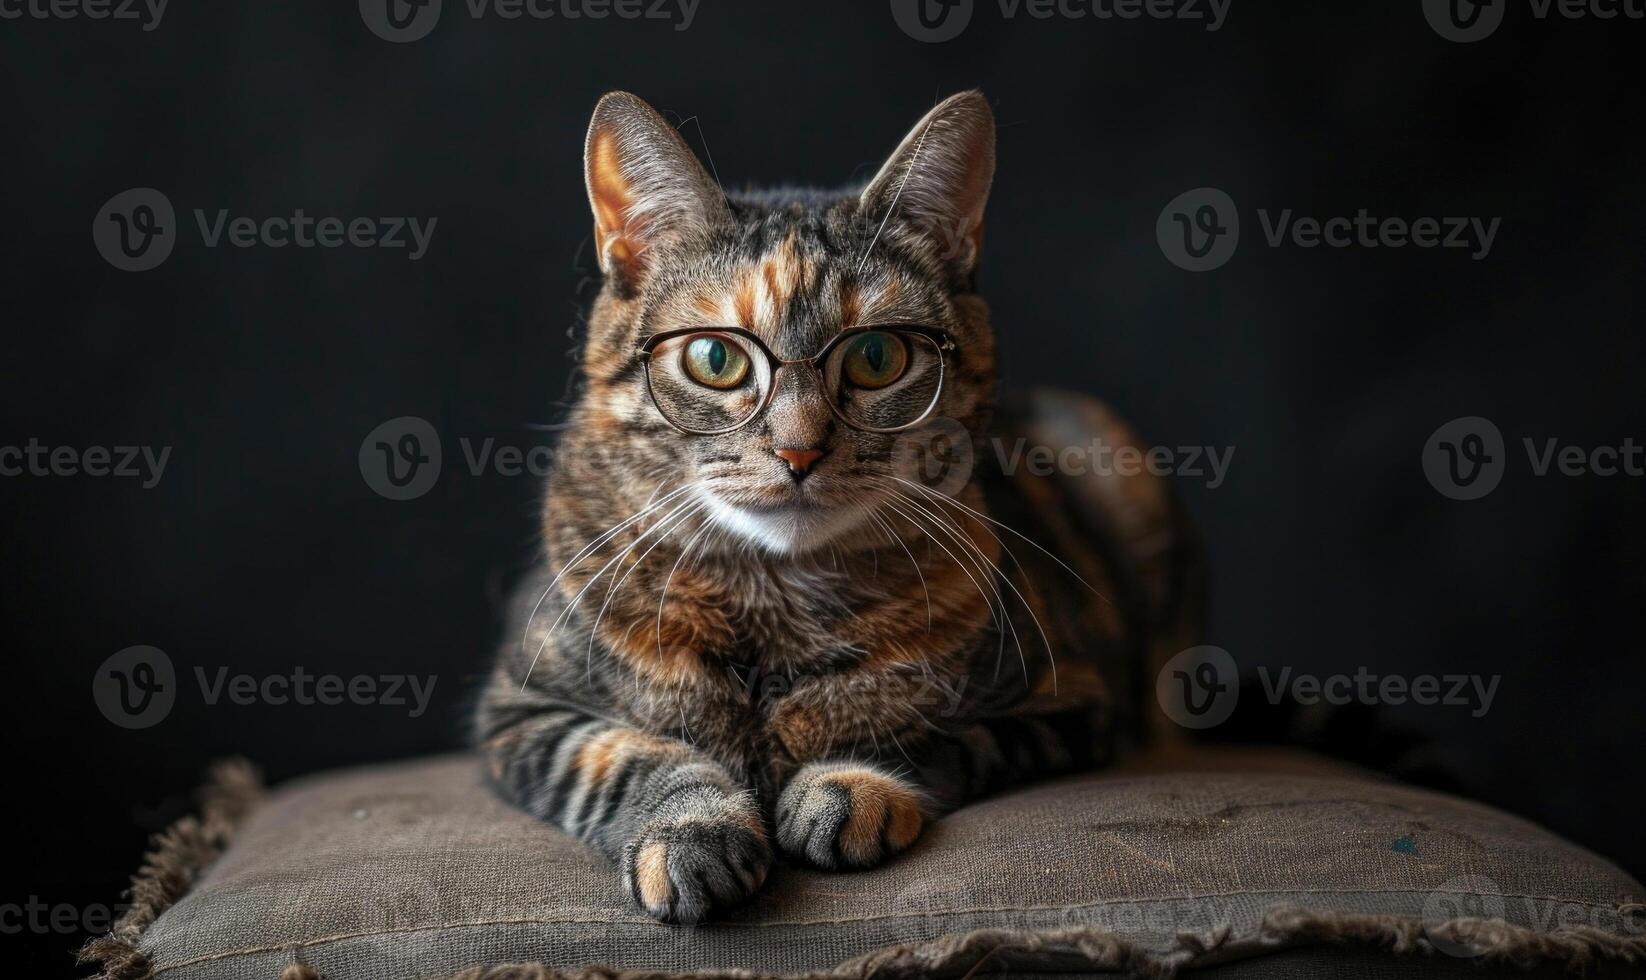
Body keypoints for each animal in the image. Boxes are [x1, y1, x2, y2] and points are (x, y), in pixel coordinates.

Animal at [470, 88, 1204, 922]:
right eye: (716, 358)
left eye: (878, 356)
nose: (799, 451)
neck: (775, 601)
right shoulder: (519, 709)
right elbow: (623, 754)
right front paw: (693, 829)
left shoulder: (1069, 703)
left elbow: (931, 739)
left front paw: (848, 785)